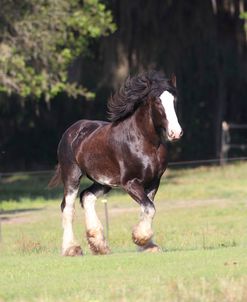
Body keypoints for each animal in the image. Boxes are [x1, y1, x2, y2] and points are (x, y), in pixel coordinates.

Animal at [48, 71, 183, 258]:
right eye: (157, 101)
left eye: (174, 100)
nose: (175, 133)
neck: (145, 142)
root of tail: (71, 131)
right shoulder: (130, 183)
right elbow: (149, 208)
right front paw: (141, 239)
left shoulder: (153, 182)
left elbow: (147, 209)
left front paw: (148, 245)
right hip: (72, 176)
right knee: (67, 208)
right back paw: (71, 249)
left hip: (103, 181)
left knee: (87, 197)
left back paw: (99, 245)